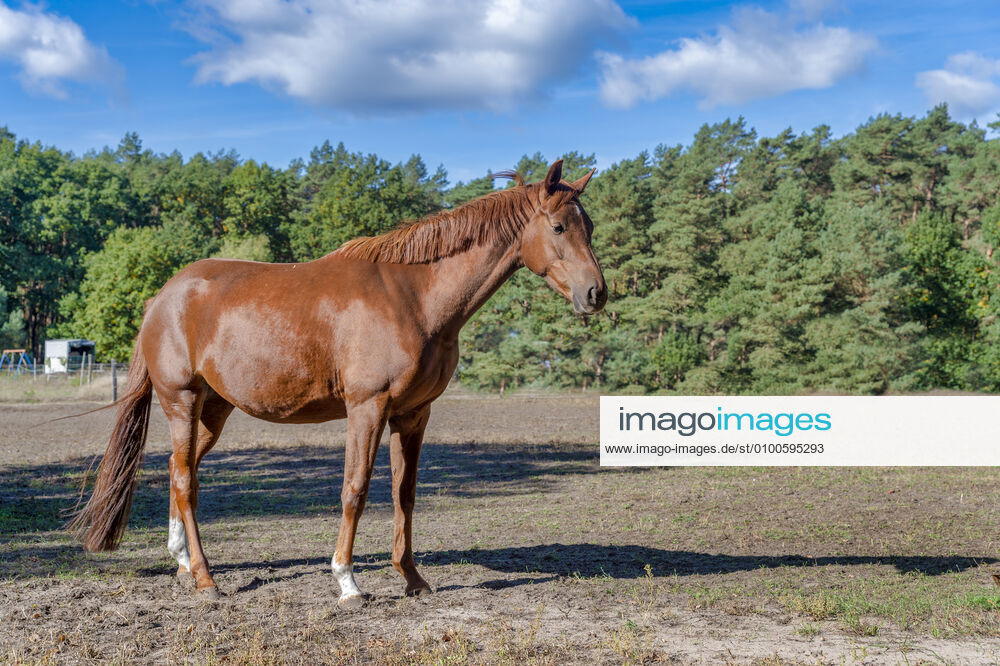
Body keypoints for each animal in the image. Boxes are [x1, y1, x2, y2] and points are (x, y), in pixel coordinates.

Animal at [67, 159, 606, 608]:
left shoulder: (412, 415)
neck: (414, 297)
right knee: (184, 479)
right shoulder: (367, 408)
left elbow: (404, 493)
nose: (595, 293)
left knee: (181, 472)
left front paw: (412, 579)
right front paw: (347, 582)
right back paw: (204, 578)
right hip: (181, 400)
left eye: (591, 226)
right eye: (558, 226)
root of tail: (164, 296)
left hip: (215, 409)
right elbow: (355, 489)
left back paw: (181, 564)